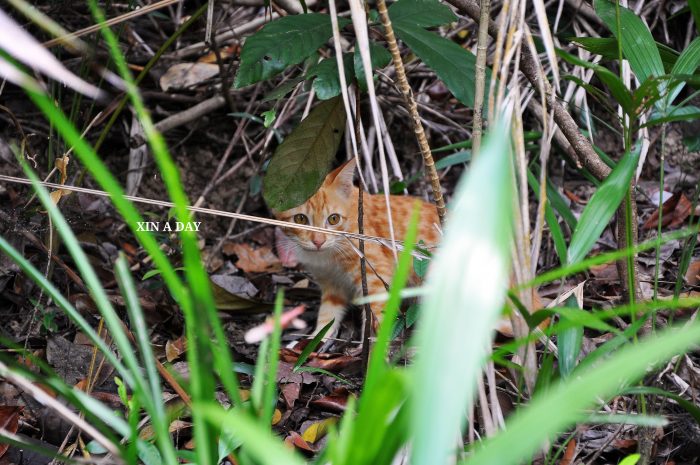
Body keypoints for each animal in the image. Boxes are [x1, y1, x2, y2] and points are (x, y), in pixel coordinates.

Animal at [272, 159, 438, 338]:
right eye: (300, 219)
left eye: (334, 219)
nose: (318, 241)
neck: (326, 257)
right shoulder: (331, 284)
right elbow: (327, 315)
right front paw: (318, 338)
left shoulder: (375, 276)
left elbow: (377, 314)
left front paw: (375, 344)